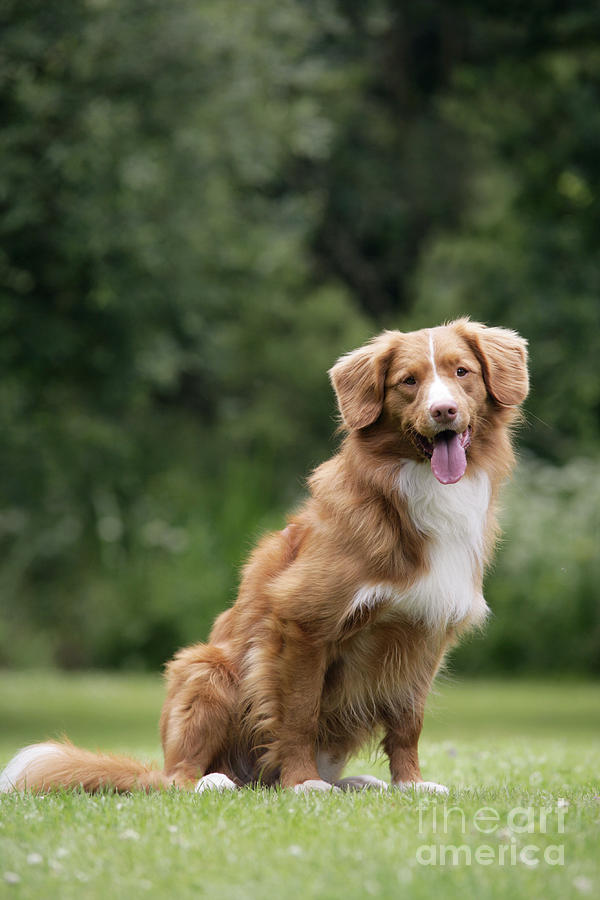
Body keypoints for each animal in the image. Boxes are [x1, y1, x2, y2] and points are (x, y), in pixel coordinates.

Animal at [0, 318, 528, 796]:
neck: (413, 493)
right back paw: (219, 781)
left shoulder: (422, 634)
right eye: (409, 381)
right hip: (205, 667)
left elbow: (407, 725)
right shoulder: (301, 623)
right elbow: (298, 714)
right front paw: (302, 783)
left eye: (461, 372)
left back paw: (355, 782)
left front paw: (411, 785)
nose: (443, 411)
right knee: (177, 778)